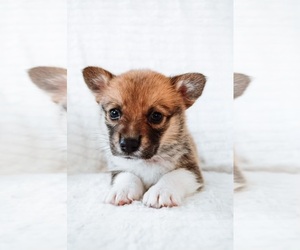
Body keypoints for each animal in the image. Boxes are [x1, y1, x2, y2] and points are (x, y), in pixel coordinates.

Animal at [83, 67, 207, 209]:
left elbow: (174, 175)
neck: (146, 161)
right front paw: (121, 190)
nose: (128, 144)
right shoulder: (118, 168)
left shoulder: (192, 171)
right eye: (114, 113)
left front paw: (160, 191)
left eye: (156, 116)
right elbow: (127, 175)